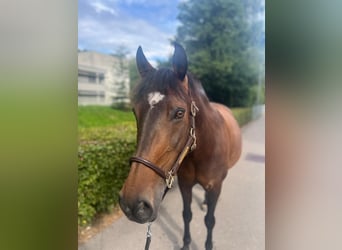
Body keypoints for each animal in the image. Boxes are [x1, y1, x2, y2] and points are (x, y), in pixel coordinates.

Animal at [119, 44, 242, 249]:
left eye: (179, 113)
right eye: (135, 112)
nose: (133, 204)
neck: (203, 152)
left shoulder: (215, 186)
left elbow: (210, 220)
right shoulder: (185, 185)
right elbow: (187, 215)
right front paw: (185, 243)